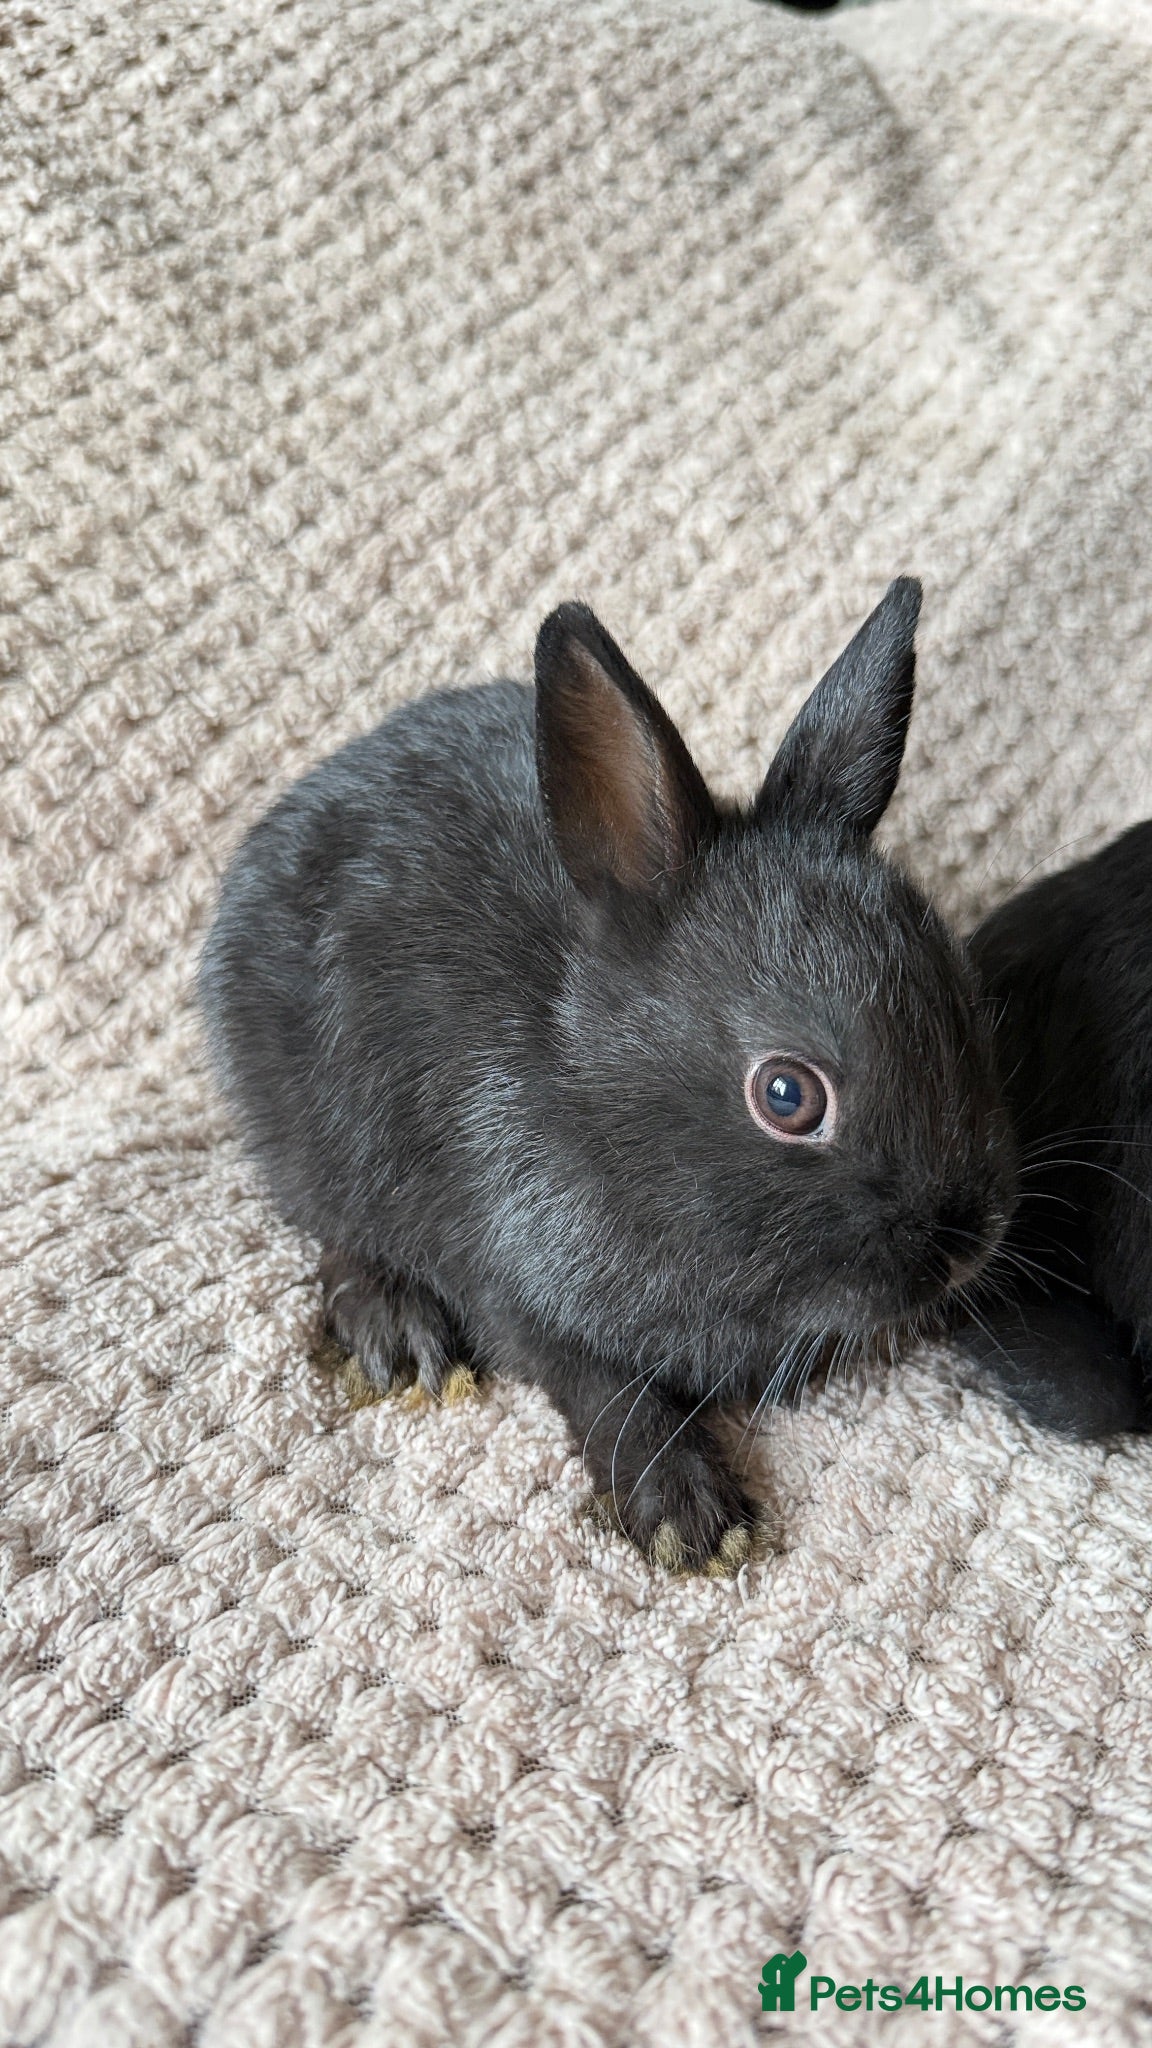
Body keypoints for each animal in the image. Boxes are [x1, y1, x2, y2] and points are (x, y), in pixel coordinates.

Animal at [199, 579, 1017, 1572]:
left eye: (965, 997)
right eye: (788, 1096)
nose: (970, 1241)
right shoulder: (521, 1284)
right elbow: (606, 1391)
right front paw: (691, 1518)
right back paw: (394, 1330)